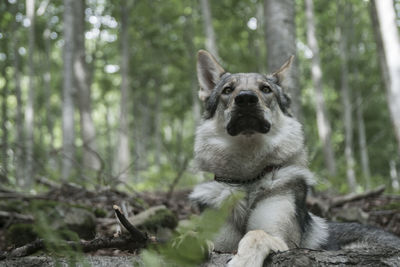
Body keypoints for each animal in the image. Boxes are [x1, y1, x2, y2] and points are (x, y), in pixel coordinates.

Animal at [188, 49, 400, 266]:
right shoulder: (220, 241)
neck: (247, 178)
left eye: (265, 89)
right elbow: (193, 235)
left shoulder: (282, 240)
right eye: (228, 90)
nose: (246, 98)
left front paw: (243, 261)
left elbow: (256, 234)